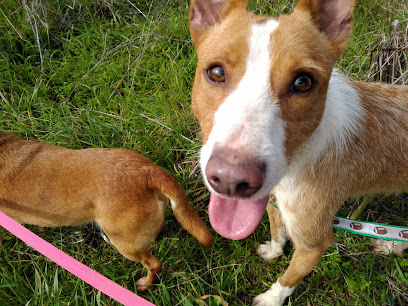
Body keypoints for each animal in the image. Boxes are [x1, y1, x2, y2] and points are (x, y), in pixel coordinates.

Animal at [188, 0, 408, 304]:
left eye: (303, 82)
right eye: (216, 72)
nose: (231, 181)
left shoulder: (314, 243)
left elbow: (289, 278)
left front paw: (272, 298)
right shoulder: (274, 201)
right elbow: (277, 230)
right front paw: (274, 250)